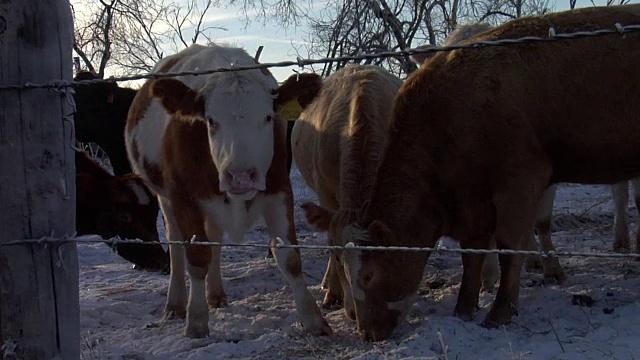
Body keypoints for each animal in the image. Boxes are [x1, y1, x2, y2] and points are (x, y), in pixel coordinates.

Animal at [127, 43, 332, 338]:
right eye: (211, 121)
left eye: (268, 117)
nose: (241, 176)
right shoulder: (183, 199)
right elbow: (196, 257)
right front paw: (196, 321)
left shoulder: (279, 190)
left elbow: (290, 257)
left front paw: (314, 319)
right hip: (165, 198)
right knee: (176, 245)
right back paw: (176, 304)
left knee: (214, 238)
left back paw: (215, 294)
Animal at [338, 4, 640, 340]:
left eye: (368, 275)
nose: (367, 333)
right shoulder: (471, 200)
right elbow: (473, 253)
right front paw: (463, 309)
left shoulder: (522, 178)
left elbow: (510, 246)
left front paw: (500, 312)